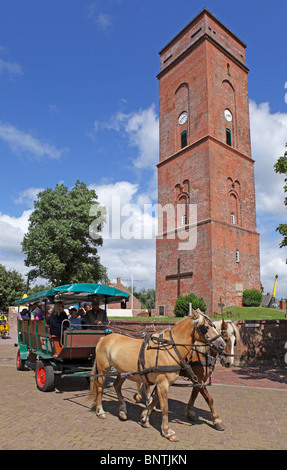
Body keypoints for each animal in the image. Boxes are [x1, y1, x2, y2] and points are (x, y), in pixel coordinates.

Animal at [89, 310, 226, 442]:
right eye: (206, 327)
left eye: (214, 326)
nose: (222, 344)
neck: (170, 349)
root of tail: (104, 338)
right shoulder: (163, 382)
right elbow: (165, 407)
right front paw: (167, 431)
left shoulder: (166, 383)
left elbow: (155, 401)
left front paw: (144, 418)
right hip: (103, 369)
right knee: (100, 388)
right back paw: (100, 411)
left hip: (122, 371)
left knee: (117, 386)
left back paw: (122, 410)